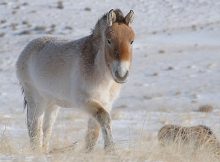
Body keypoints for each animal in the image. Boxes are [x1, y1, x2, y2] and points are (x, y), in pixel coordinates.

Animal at [16, 8, 135, 153]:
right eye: (109, 40)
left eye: (131, 41)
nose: (121, 74)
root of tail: (27, 50)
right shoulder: (86, 101)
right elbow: (104, 119)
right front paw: (110, 149)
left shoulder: (105, 103)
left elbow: (93, 132)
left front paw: (90, 152)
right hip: (36, 100)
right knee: (34, 127)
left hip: (52, 104)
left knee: (47, 128)